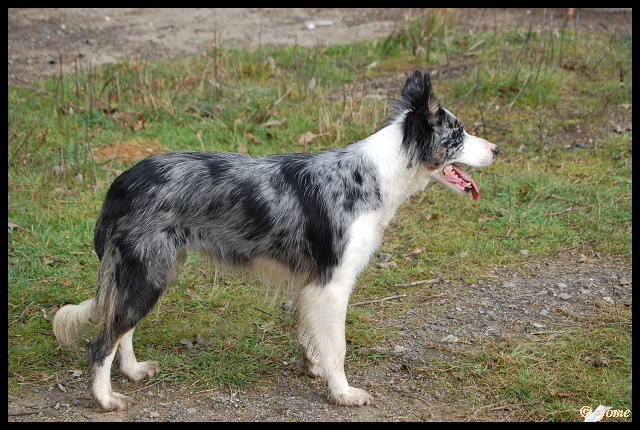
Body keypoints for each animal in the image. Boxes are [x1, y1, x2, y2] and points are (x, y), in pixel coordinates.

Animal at [52, 69, 500, 410]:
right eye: (458, 134)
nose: (497, 149)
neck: (374, 174)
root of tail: (122, 182)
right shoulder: (333, 284)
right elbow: (338, 347)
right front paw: (342, 392)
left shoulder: (310, 283)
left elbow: (312, 336)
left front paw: (315, 368)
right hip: (147, 272)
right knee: (102, 342)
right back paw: (105, 399)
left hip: (153, 271)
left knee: (121, 329)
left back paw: (131, 372)